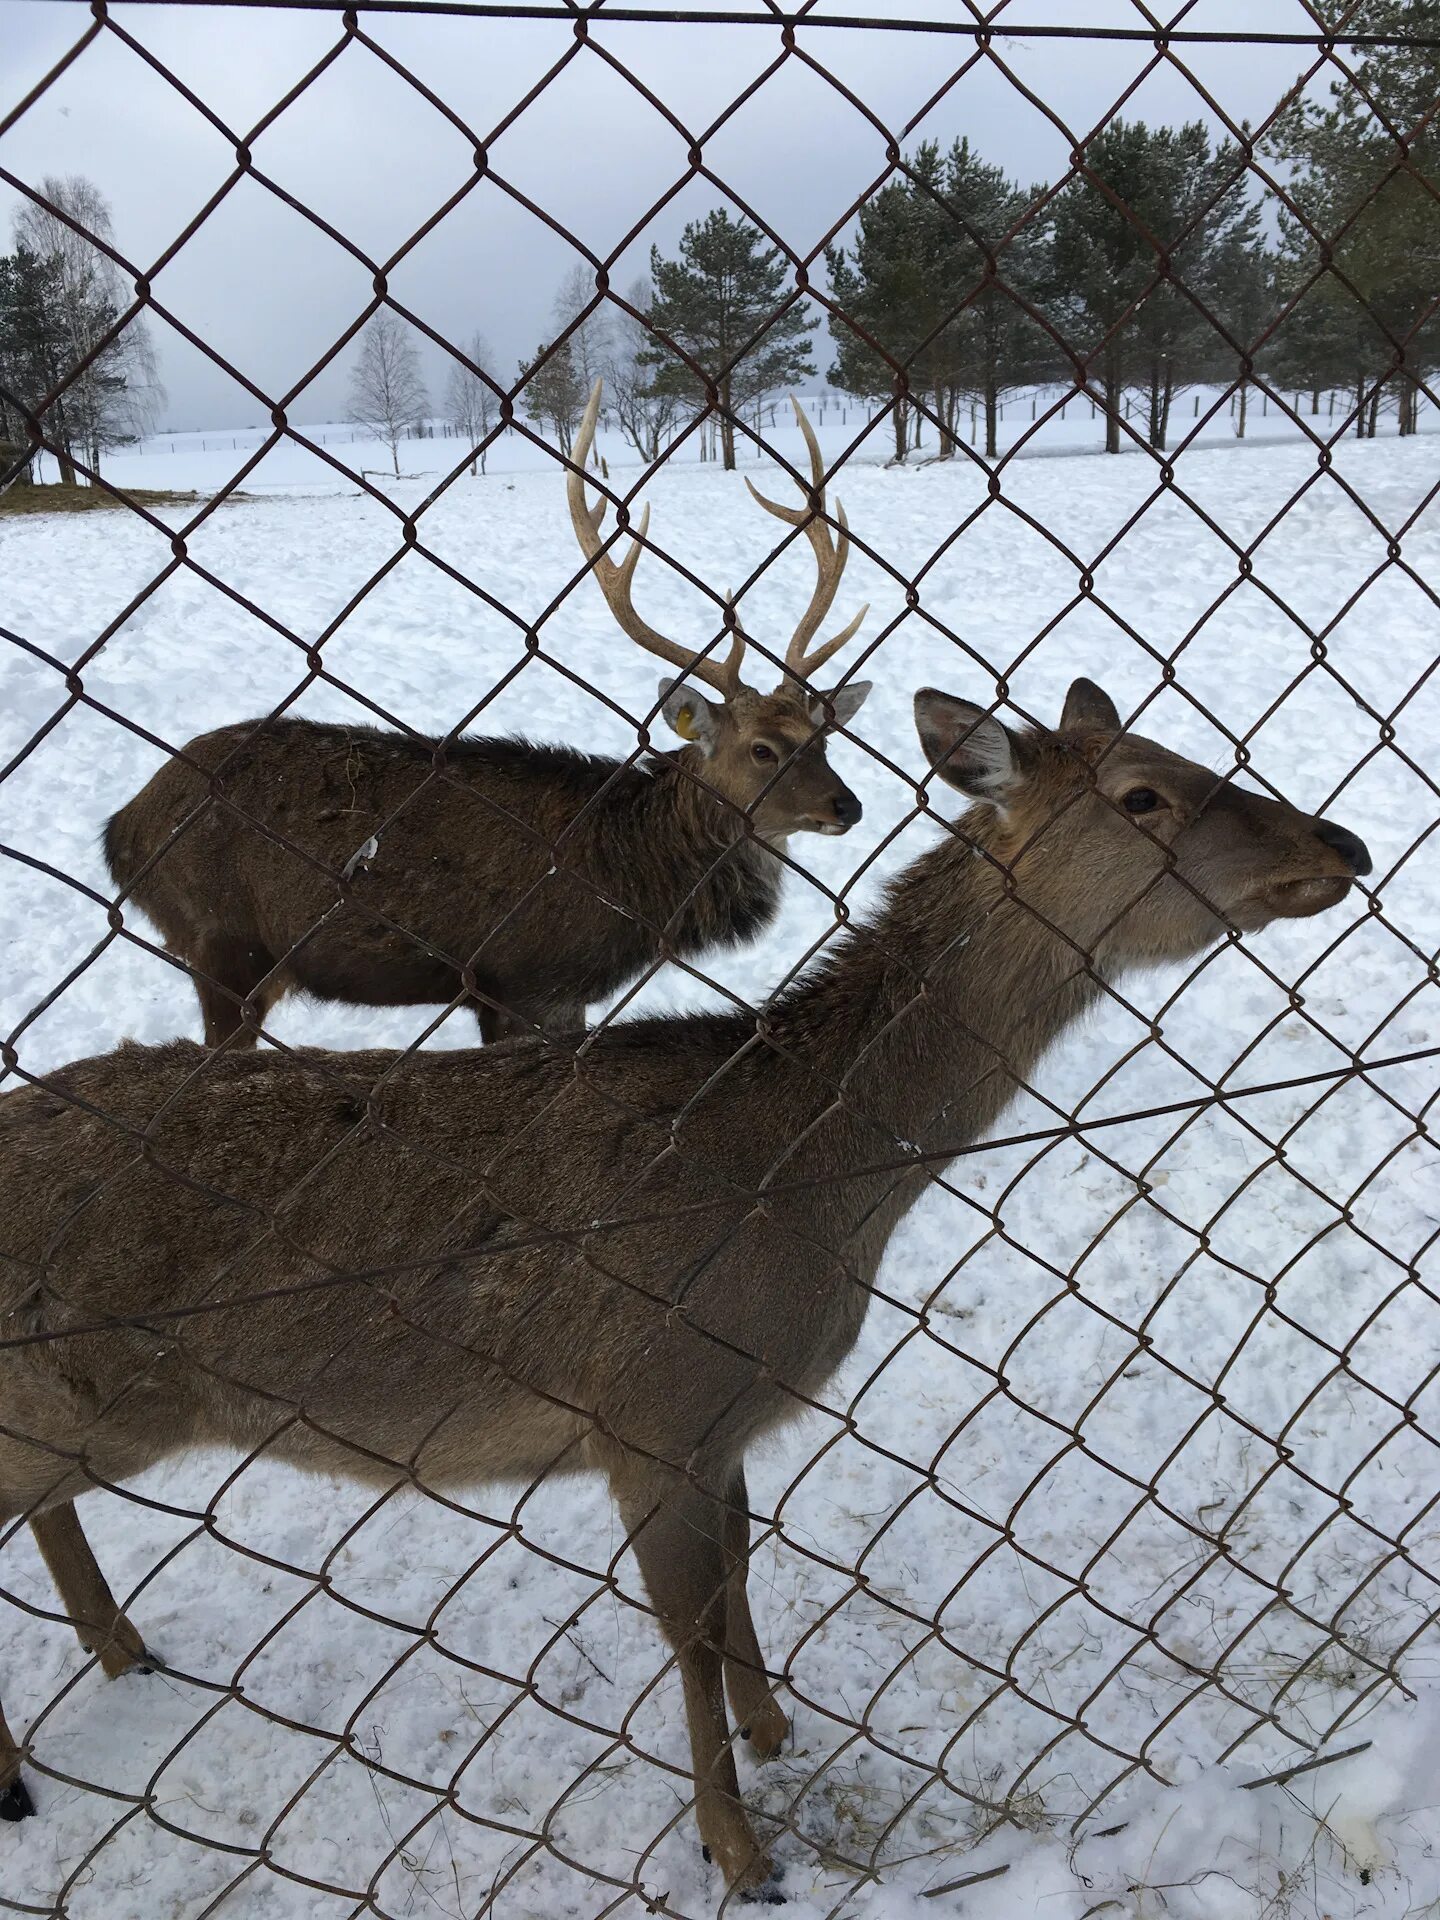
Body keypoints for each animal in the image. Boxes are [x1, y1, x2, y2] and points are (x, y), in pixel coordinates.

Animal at [2, 679, 1374, 1904]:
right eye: (1144, 792)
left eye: (1189, 750)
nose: (1344, 842)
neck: (811, 1191)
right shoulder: (649, 1411)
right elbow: (689, 1629)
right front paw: (739, 1853)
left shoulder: (724, 1420)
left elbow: (742, 1571)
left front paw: (774, 1730)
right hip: (83, 1392)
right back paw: (24, 1766)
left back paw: (122, 1651)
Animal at [107, 384, 875, 1052]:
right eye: (762, 749)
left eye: (824, 736)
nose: (850, 805)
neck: (630, 883)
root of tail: (121, 831)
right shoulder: (529, 981)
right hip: (221, 941)